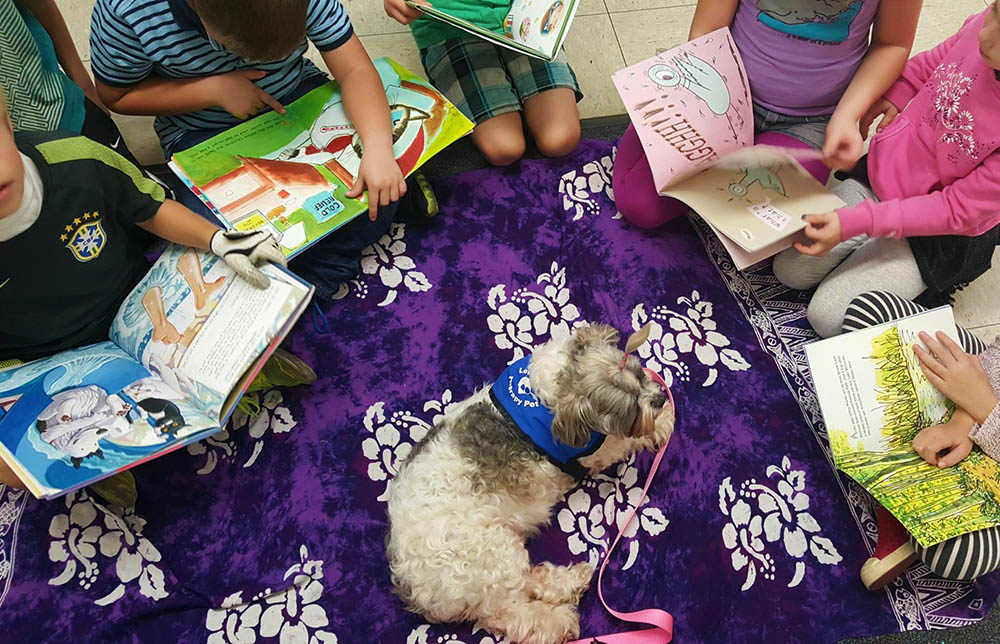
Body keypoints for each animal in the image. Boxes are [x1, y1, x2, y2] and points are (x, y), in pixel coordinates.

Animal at [386, 324, 675, 644]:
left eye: (638, 373)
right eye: (628, 410)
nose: (659, 399)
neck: (542, 391)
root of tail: (416, 590)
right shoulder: (587, 456)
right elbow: (619, 443)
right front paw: (661, 424)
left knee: (528, 583)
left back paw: (570, 580)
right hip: (493, 555)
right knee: (509, 614)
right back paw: (559, 621)